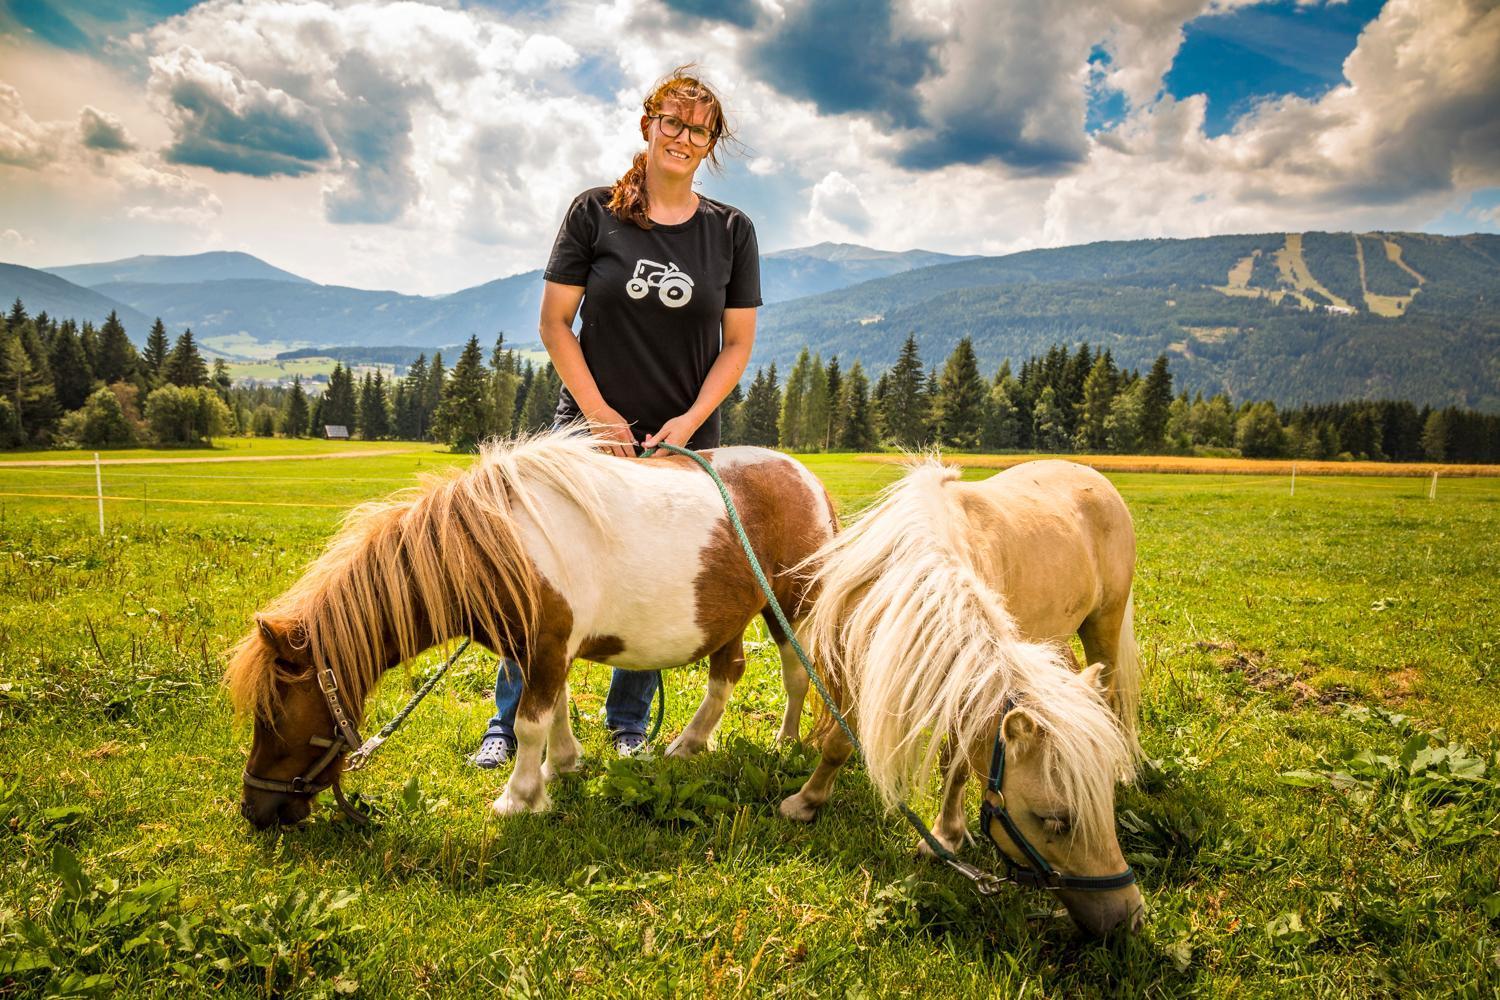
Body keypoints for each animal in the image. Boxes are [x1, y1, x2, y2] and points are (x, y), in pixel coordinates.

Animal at [223, 431, 840, 827]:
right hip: (733, 615)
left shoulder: (546, 646)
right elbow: (555, 712)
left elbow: (529, 721)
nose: (256, 811)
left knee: (795, 675)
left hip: (792, 607)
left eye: (271, 717)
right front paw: (561, 768)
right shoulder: (539, 651)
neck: (497, 542)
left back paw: (786, 745)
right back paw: (690, 745)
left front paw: (518, 798)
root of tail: (809, 479)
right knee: (727, 673)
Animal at [780, 461, 1140, 941]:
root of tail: (1092, 476)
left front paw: (944, 835)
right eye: (1053, 819)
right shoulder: (858, 674)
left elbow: (956, 764)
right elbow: (838, 745)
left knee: (1113, 701)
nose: (1128, 916)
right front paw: (805, 802)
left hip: (1104, 625)